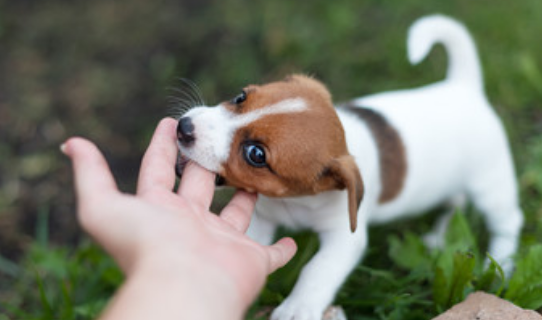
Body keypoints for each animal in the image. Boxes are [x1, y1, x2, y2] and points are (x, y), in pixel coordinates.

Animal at [176, 15, 524, 320]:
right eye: (240, 97)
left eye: (256, 154)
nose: (184, 127)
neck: (294, 201)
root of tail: (463, 87)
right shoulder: (262, 218)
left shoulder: (345, 239)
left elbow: (317, 269)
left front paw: (298, 307)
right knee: (455, 202)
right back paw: (440, 236)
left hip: (490, 184)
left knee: (507, 220)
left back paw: (500, 265)